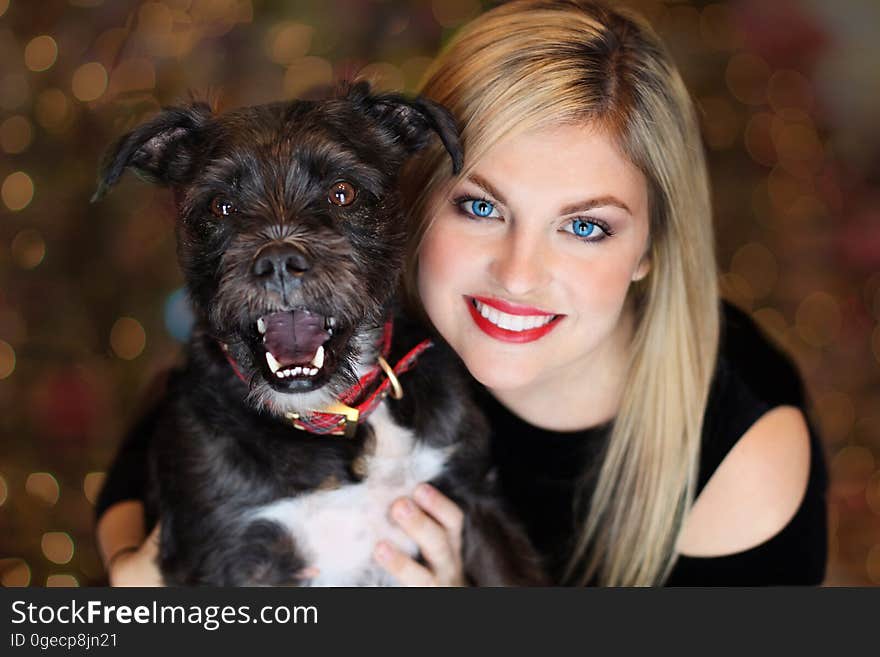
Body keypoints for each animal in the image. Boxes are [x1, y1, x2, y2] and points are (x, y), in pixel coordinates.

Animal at [93, 82, 548, 584]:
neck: (336, 420)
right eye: (221, 205)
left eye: (342, 192)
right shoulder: (224, 554)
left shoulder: (477, 500)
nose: (277, 262)